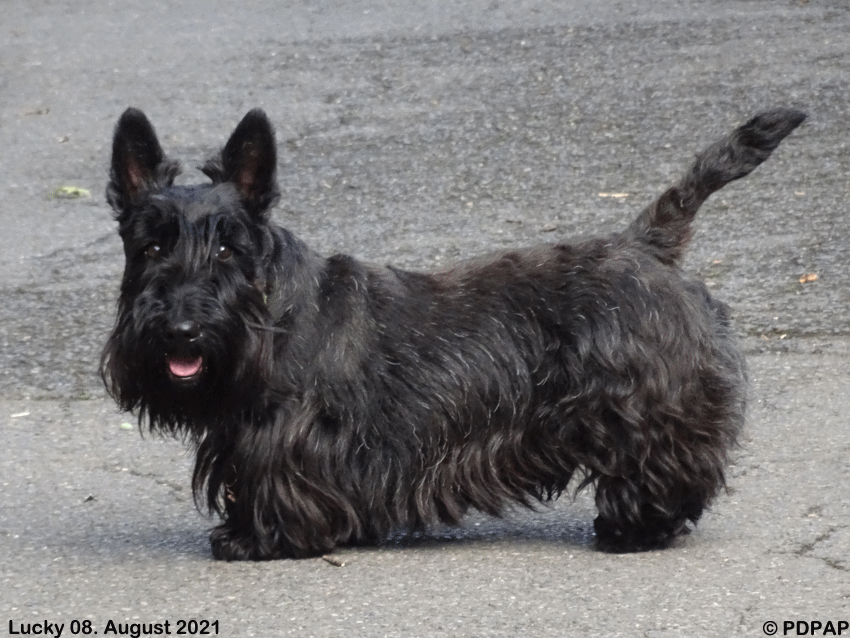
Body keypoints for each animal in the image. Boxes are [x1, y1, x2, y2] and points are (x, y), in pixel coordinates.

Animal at [99, 105, 800, 560]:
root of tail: (647, 245)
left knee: (666, 464)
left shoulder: (287, 436)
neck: (272, 313)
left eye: (228, 248)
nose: (183, 330)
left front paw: (253, 539)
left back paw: (636, 529)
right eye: (150, 244)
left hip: (645, 402)